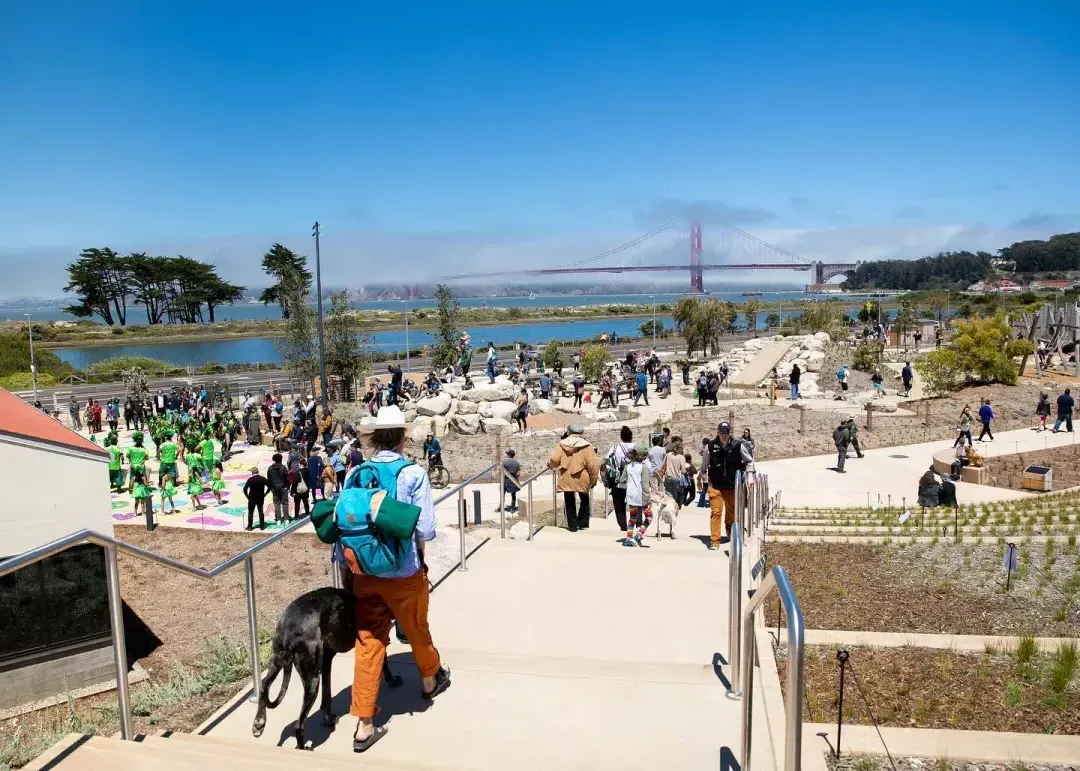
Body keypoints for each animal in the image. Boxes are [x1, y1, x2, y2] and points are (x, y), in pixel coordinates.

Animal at [250, 587, 403, 742]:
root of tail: (290, 633)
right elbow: (384, 661)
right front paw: (392, 680)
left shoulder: (326, 660)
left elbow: (327, 693)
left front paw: (328, 718)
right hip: (311, 679)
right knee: (299, 726)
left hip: (276, 660)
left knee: (264, 686)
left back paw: (259, 723)